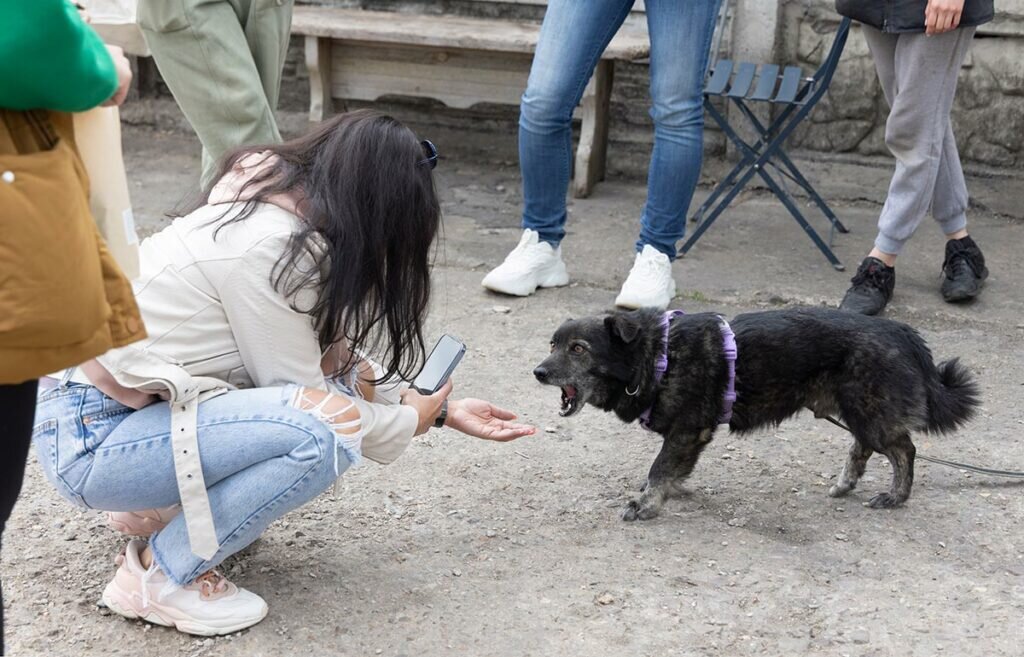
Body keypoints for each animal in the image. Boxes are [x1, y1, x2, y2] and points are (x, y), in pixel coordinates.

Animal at [532, 304, 978, 515]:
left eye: (578, 349)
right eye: (553, 344)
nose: (537, 372)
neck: (656, 356)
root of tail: (899, 329)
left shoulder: (687, 430)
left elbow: (659, 468)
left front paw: (647, 505)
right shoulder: (691, 435)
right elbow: (672, 469)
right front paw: (669, 492)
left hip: (869, 410)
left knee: (904, 449)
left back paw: (896, 497)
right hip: (859, 409)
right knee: (863, 445)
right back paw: (846, 483)